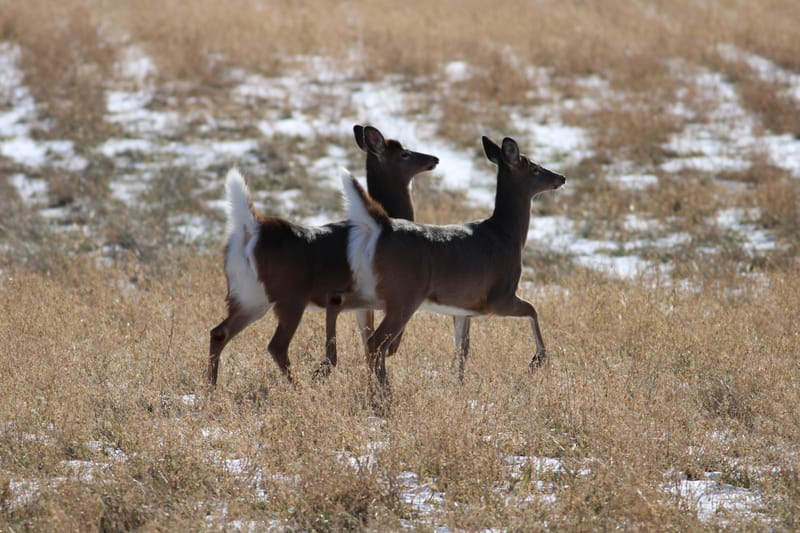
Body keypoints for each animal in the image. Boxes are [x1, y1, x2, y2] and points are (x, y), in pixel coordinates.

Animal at [207, 125, 438, 387]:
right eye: (404, 154)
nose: (434, 159)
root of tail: (251, 229)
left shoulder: (361, 303)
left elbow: (366, 341)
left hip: (250, 296)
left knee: (219, 332)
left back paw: (211, 387)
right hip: (290, 297)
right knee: (277, 346)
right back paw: (299, 387)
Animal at [341, 135, 566, 403]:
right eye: (535, 168)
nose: (561, 177)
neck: (507, 235)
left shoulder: (463, 308)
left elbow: (462, 347)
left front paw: (459, 386)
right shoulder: (498, 297)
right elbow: (533, 310)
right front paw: (536, 361)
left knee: (367, 341)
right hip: (404, 296)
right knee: (376, 343)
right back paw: (386, 395)